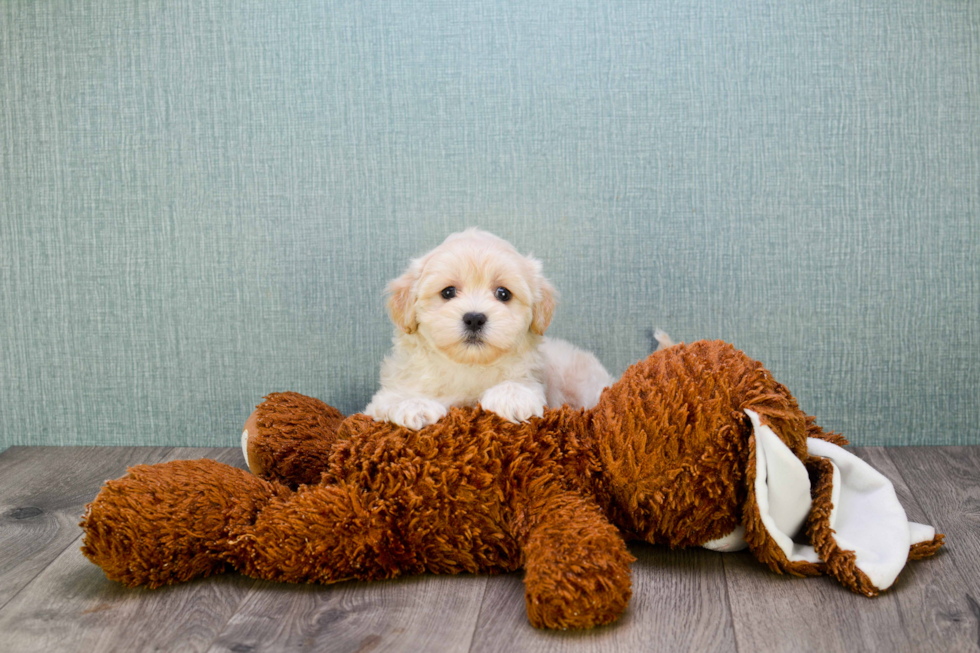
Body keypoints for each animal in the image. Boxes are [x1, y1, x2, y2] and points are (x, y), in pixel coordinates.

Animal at [366, 227, 612, 430]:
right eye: (448, 292)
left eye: (503, 293)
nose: (474, 318)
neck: (470, 366)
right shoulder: (384, 396)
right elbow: (391, 398)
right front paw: (414, 405)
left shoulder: (533, 378)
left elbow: (520, 385)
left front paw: (510, 397)